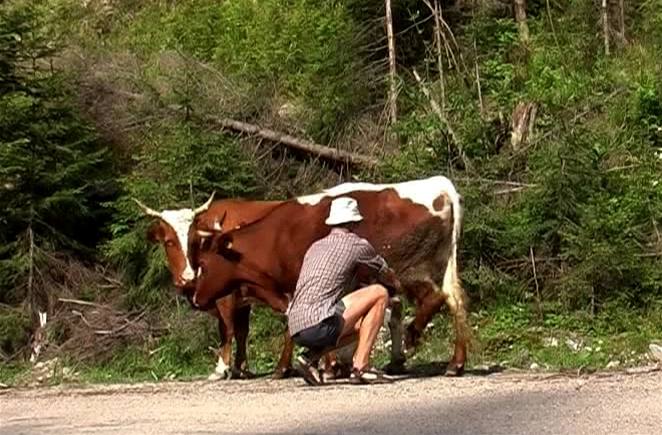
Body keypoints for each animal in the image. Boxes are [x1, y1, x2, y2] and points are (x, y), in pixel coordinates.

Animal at [192, 176, 472, 374]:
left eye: (203, 263)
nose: (196, 299)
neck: (276, 237)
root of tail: (439, 184)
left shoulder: (297, 286)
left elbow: (294, 323)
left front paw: (299, 367)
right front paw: (329, 364)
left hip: (408, 269)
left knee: (434, 297)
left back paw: (412, 336)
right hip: (443, 263)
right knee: (455, 301)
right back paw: (455, 363)